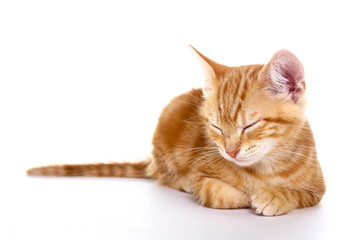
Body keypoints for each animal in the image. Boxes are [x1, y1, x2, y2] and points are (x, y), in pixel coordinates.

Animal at [27, 46, 326, 217]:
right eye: (216, 126)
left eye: (250, 125)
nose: (230, 151)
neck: (263, 168)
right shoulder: (202, 171)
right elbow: (216, 192)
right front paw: (244, 195)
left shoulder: (319, 189)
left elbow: (299, 194)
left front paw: (274, 196)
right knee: (162, 175)